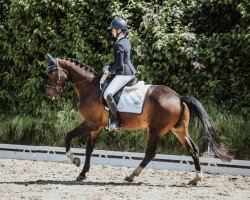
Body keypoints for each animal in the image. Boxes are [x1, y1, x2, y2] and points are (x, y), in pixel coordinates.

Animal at [46, 54, 231, 185]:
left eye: (51, 74)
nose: (49, 95)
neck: (89, 87)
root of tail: (179, 97)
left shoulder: (90, 124)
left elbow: (68, 136)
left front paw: (75, 161)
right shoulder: (95, 127)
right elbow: (89, 149)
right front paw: (82, 173)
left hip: (155, 130)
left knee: (150, 153)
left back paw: (131, 176)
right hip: (179, 130)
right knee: (193, 149)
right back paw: (196, 178)